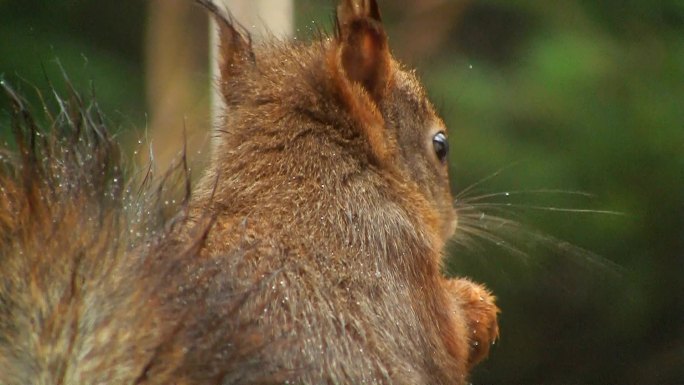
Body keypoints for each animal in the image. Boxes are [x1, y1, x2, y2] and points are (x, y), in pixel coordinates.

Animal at [1, 0, 496, 384]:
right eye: (440, 145)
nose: (452, 222)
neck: (300, 183)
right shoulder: (398, 261)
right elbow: (450, 339)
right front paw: (479, 307)